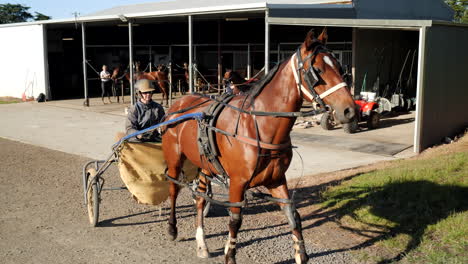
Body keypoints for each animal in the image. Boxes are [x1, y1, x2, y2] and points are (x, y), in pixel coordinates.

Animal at [161, 27, 354, 262]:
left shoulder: (276, 179)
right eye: (317, 70)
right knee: (173, 188)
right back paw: (172, 228)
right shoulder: (237, 182)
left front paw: (301, 253)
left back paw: (202, 244)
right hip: (174, 159)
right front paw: (230, 254)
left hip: (205, 164)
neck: (258, 126)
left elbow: (293, 215)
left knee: (199, 199)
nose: (350, 110)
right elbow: (235, 220)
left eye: (340, 67)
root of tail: (177, 105)